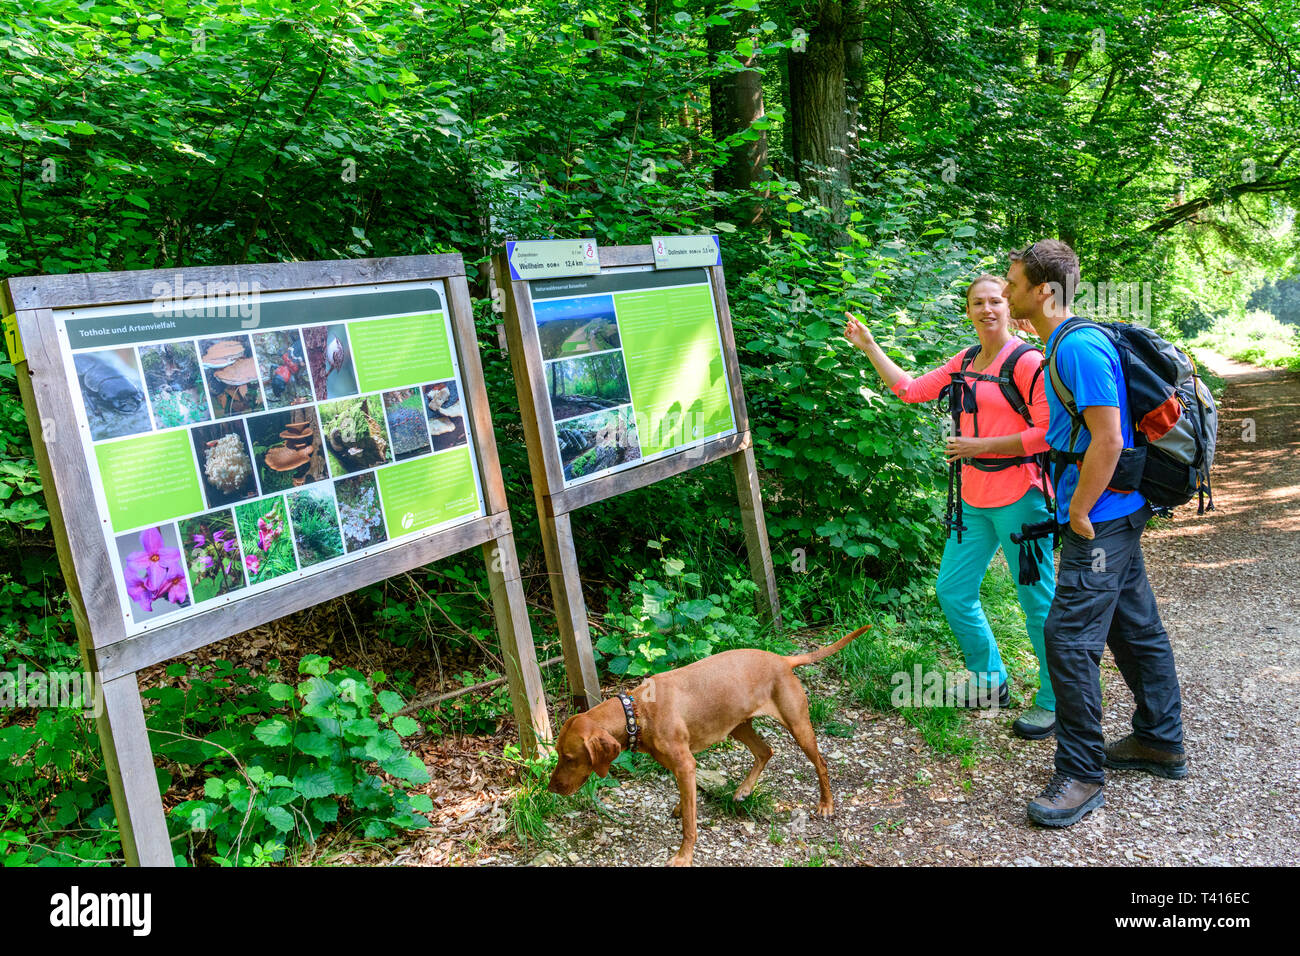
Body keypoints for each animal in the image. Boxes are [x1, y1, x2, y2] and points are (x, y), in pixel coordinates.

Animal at [543, 629, 868, 868]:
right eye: (557, 754)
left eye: (569, 757)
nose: (550, 789)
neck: (636, 712)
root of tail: (782, 659)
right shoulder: (681, 766)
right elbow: (685, 801)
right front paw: (680, 807)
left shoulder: (686, 765)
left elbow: (690, 823)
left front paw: (683, 856)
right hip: (738, 725)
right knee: (766, 751)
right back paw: (744, 790)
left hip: (798, 726)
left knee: (821, 763)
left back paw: (826, 804)